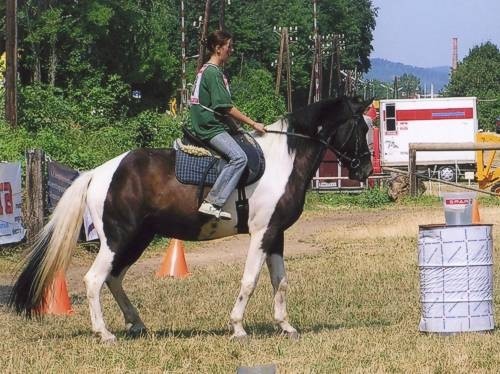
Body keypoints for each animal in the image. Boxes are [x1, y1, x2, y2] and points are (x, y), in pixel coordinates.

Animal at [9, 95, 374, 342]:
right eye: (361, 127)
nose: (366, 170)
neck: (282, 160)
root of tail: (98, 173)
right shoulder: (261, 233)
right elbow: (250, 280)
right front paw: (238, 327)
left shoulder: (276, 234)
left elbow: (280, 281)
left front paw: (286, 325)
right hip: (118, 238)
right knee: (94, 279)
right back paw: (105, 333)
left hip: (137, 238)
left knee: (114, 278)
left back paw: (136, 323)